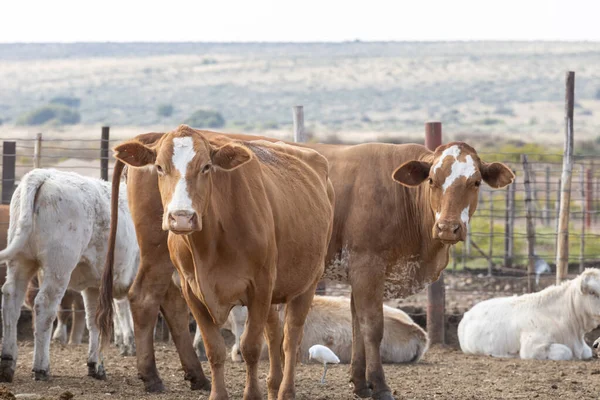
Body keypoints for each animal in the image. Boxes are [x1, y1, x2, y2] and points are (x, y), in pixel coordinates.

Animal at [0, 168, 138, 382]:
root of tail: (43, 174)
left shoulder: (94, 286)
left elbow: (95, 321)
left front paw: (96, 366)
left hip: (21, 261)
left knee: (11, 300)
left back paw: (8, 362)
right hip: (59, 266)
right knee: (45, 306)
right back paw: (41, 368)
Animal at [105, 126, 336, 400]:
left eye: (206, 167)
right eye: (159, 167)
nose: (181, 217)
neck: (211, 243)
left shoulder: (260, 287)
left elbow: (250, 346)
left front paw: (252, 394)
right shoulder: (192, 288)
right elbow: (214, 347)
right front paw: (218, 393)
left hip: (306, 284)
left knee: (290, 338)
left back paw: (283, 390)